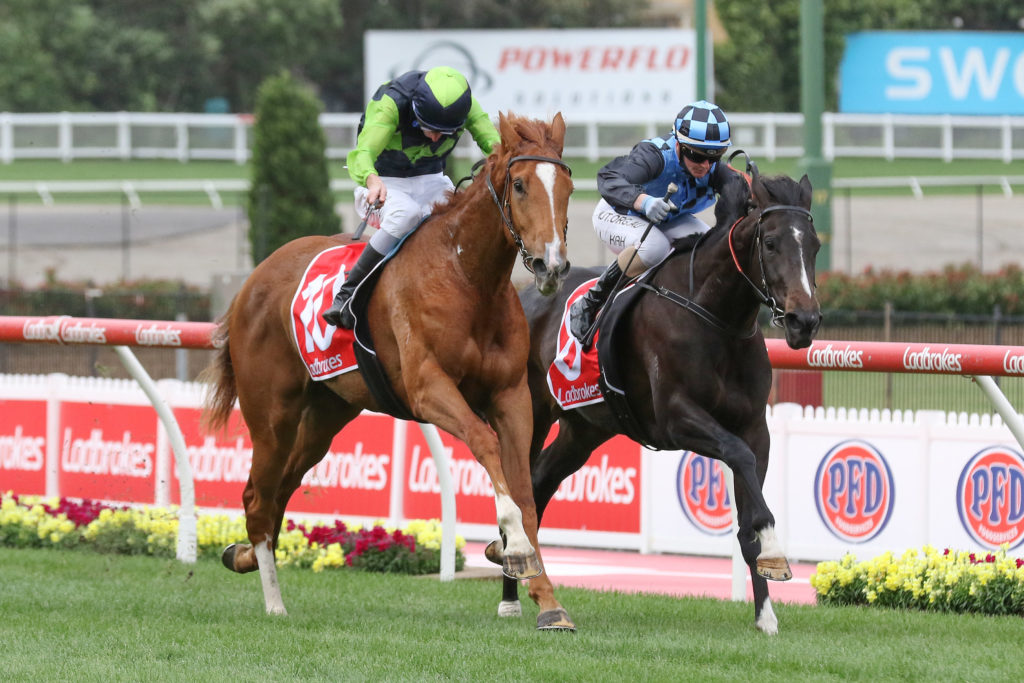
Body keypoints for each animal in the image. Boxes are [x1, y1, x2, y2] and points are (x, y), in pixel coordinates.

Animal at [201, 112, 575, 623]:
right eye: (519, 185)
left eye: (568, 188)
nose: (551, 264)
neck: (467, 277)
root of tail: (251, 281)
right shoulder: (428, 388)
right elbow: (485, 443)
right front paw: (513, 546)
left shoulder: (512, 395)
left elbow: (525, 490)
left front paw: (547, 600)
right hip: (271, 415)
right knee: (258, 498)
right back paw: (273, 600)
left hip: (326, 414)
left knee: (281, 487)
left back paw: (240, 555)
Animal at [486, 162, 821, 634]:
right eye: (771, 243)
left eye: (815, 245)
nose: (803, 321)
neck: (715, 316)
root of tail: (525, 295)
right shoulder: (677, 419)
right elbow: (739, 459)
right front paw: (775, 548)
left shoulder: (756, 427)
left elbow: (746, 505)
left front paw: (766, 615)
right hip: (529, 413)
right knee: (522, 488)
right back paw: (511, 595)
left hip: (583, 430)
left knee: (540, 482)